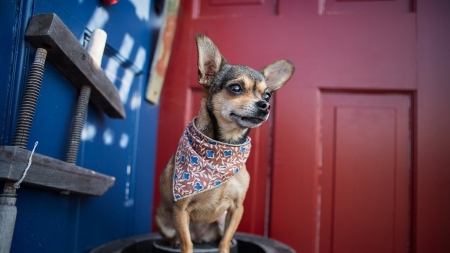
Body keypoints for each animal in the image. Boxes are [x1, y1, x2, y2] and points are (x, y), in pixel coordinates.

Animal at [155, 34, 296, 253]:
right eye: (236, 88)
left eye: (267, 95)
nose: (266, 105)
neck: (223, 149)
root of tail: (201, 237)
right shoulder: (181, 209)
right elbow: (187, 244)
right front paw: (183, 243)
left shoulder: (237, 209)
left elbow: (226, 240)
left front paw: (225, 247)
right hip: (162, 218)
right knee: (177, 236)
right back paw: (175, 241)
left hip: (219, 221)